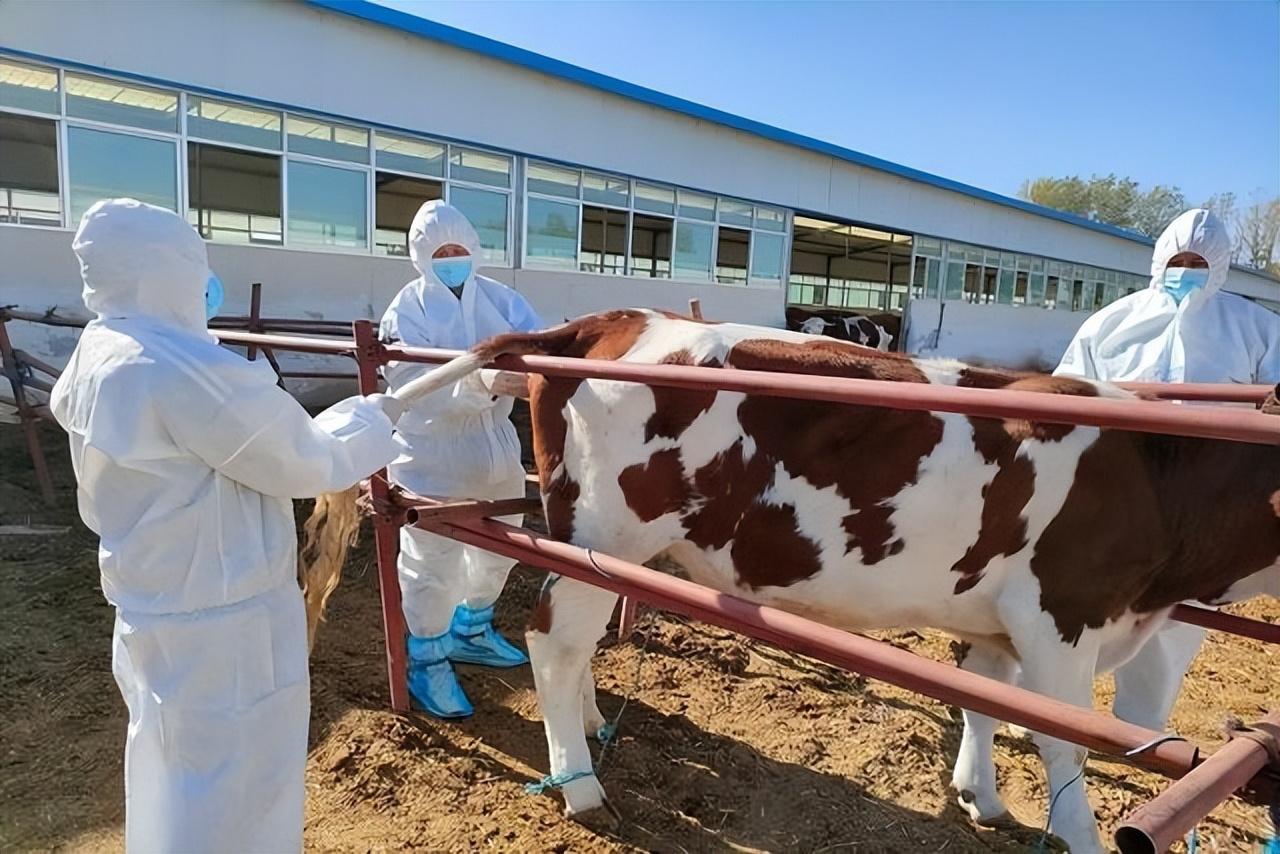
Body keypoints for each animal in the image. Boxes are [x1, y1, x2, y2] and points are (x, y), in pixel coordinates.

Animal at [355, 311, 1274, 850]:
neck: (1157, 471)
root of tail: (617, 318)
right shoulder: (1064, 613)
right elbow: (1064, 741)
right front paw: (1076, 833)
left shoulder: (998, 620)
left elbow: (981, 700)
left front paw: (981, 798)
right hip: (605, 529)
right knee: (553, 638)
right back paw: (581, 787)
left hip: (599, 542)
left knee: (572, 645)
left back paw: (584, 731)